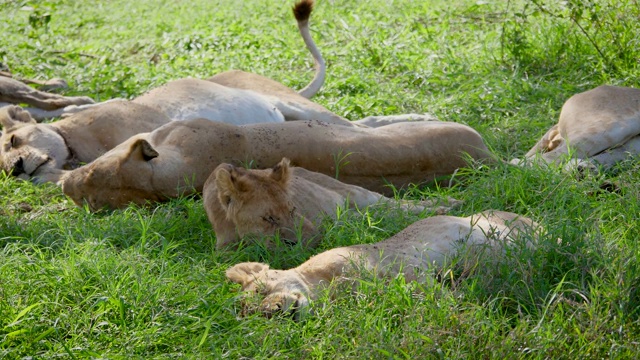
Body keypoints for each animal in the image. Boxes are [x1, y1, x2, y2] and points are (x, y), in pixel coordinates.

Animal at [205, 158, 460, 250]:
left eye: (292, 209)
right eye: (268, 218)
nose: (310, 241)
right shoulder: (223, 248)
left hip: (358, 195)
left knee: (397, 206)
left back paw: (448, 204)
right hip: (353, 212)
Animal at [225, 210, 540, 320]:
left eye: (263, 290)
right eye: (257, 316)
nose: (273, 313)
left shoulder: (401, 265)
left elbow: (430, 291)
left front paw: (470, 304)